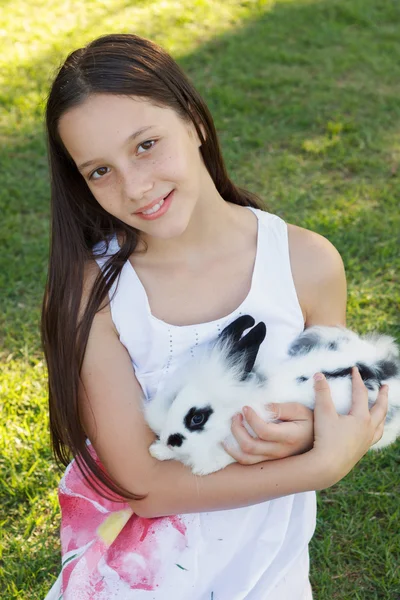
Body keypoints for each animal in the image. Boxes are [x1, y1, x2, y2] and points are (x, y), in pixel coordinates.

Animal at [144, 316, 400, 476]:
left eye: (197, 418)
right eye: (174, 400)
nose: (170, 439)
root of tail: (382, 364)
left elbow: (221, 457)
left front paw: (201, 469)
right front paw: (157, 451)